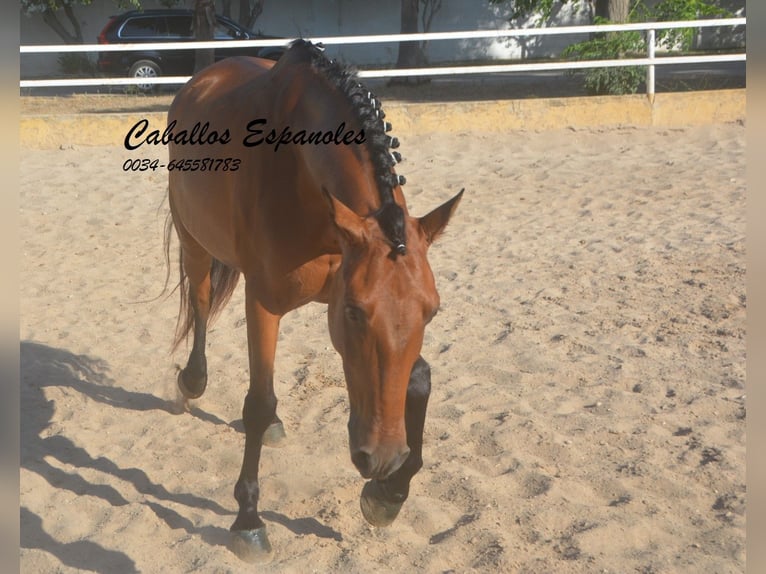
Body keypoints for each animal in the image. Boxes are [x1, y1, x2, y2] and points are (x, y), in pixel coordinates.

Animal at [165, 39, 463, 562]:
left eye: (432, 311)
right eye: (356, 312)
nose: (382, 457)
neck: (298, 169)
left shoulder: (335, 293)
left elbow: (420, 379)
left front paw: (390, 493)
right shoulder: (267, 302)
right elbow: (257, 400)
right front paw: (248, 520)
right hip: (193, 241)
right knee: (200, 303)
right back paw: (192, 381)